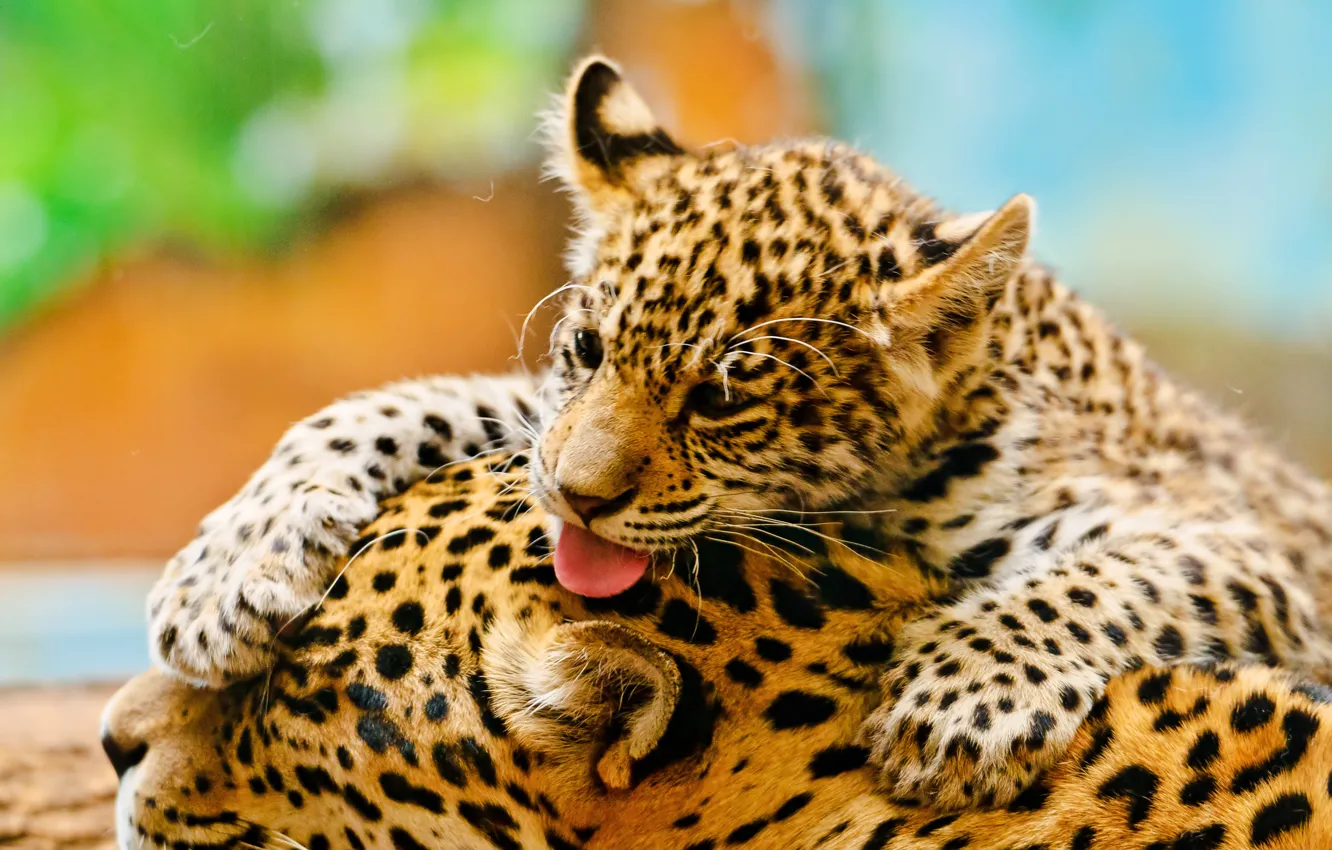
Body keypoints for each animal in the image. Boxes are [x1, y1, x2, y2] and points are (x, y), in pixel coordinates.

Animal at [146, 55, 1332, 809]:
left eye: (721, 400)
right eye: (587, 349)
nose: (577, 500)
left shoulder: (1260, 545)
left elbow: (1113, 576)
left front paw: (957, 702)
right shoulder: (539, 417)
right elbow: (406, 401)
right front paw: (227, 572)